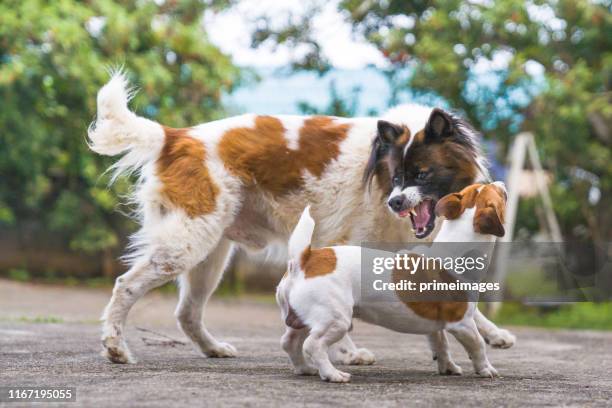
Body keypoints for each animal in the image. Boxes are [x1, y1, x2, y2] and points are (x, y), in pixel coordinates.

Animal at [274, 183, 510, 384]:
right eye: (498, 193)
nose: (500, 182)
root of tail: (304, 259)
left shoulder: (435, 325)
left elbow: (440, 345)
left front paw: (448, 367)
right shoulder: (462, 323)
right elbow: (478, 345)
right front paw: (486, 369)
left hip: (302, 320)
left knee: (290, 342)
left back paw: (305, 368)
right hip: (336, 320)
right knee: (313, 345)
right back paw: (332, 374)